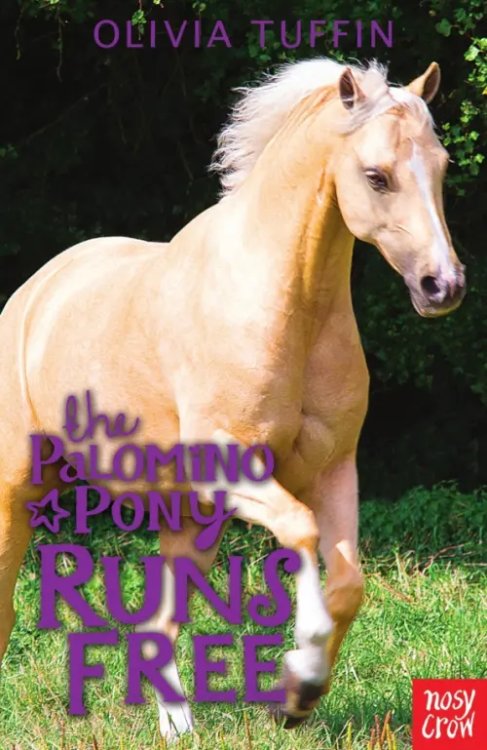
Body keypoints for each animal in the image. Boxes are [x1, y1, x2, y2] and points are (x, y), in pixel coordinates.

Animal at [0, 58, 466, 739]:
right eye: (376, 175)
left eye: (441, 166)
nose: (443, 286)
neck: (288, 307)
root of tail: (34, 294)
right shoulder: (240, 472)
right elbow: (301, 533)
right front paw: (300, 678)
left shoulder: (333, 471)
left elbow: (349, 583)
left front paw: (299, 698)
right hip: (19, 489)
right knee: (8, 601)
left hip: (189, 518)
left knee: (160, 625)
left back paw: (178, 728)